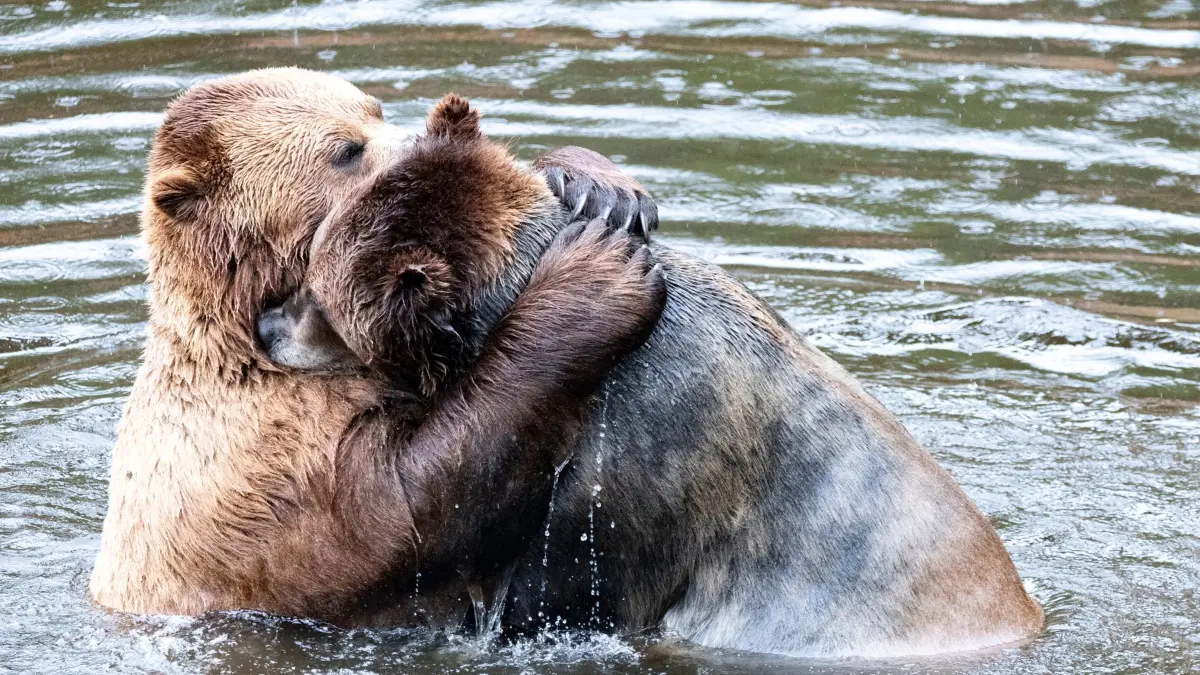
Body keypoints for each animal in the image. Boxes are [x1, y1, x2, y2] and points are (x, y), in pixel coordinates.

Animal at [89, 67, 666, 625]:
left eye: (375, 109)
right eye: (345, 149)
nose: (418, 140)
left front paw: (601, 188)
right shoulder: (269, 463)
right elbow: (411, 512)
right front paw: (595, 279)